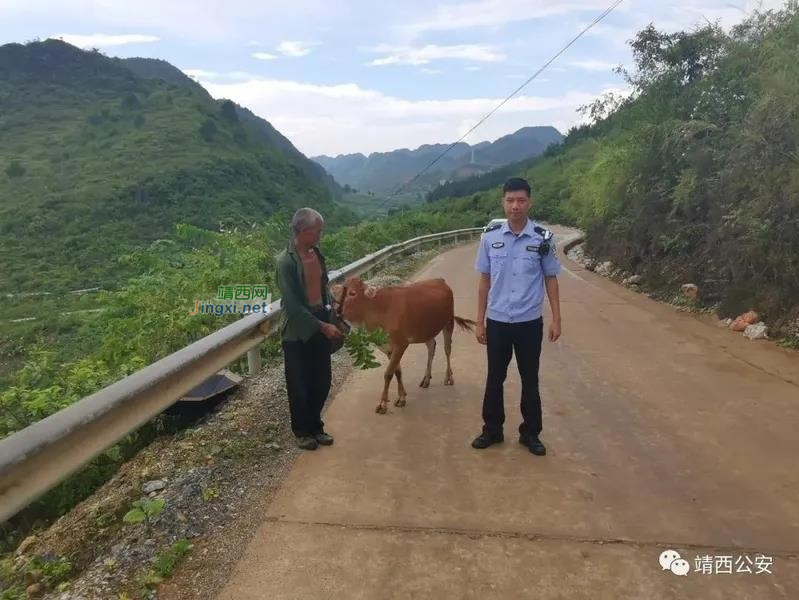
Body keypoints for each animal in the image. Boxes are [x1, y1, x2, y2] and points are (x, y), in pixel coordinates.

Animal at [332, 276, 476, 412]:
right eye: (338, 295)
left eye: (352, 293)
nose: (337, 313)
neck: (378, 311)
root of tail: (440, 280)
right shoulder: (387, 348)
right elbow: (397, 372)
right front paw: (401, 397)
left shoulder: (401, 344)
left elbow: (388, 373)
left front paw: (383, 404)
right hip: (426, 330)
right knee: (431, 347)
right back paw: (426, 379)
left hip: (448, 322)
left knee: (447, 349)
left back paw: (448, 377)